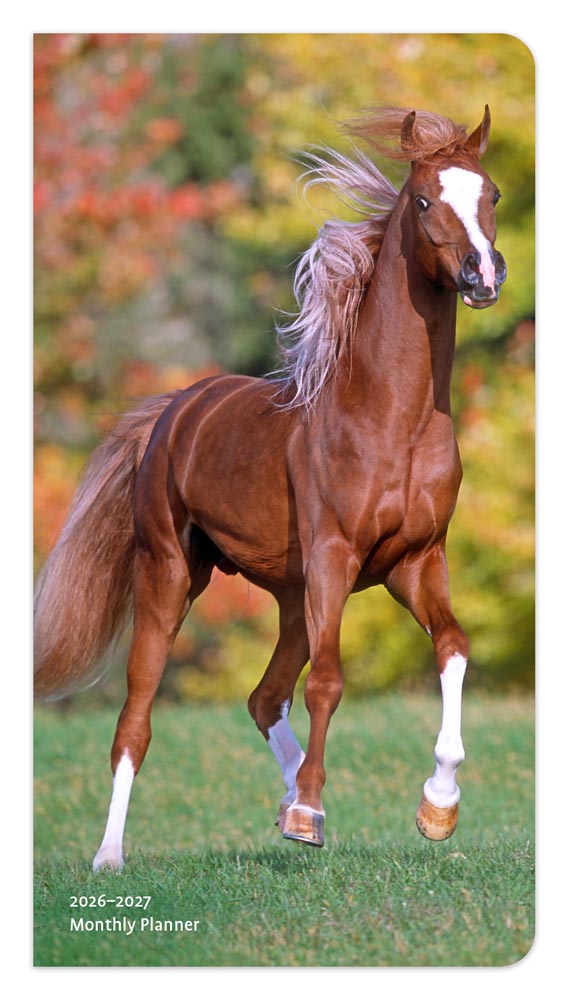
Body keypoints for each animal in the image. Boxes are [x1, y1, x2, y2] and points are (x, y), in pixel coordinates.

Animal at [34, 106, 507, 869]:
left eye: (490, 193)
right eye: (423, 200)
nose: (483, 274)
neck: (391, 418)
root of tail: (175, 410)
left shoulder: (414, 562)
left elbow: (454, 647)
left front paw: (437, 807)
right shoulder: (335, 558)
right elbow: (330, 682)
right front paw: (310, 812)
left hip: (292, 597)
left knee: (263, 698)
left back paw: (287, 803)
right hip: (172, 576)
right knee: (136, 721)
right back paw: (112, 854)